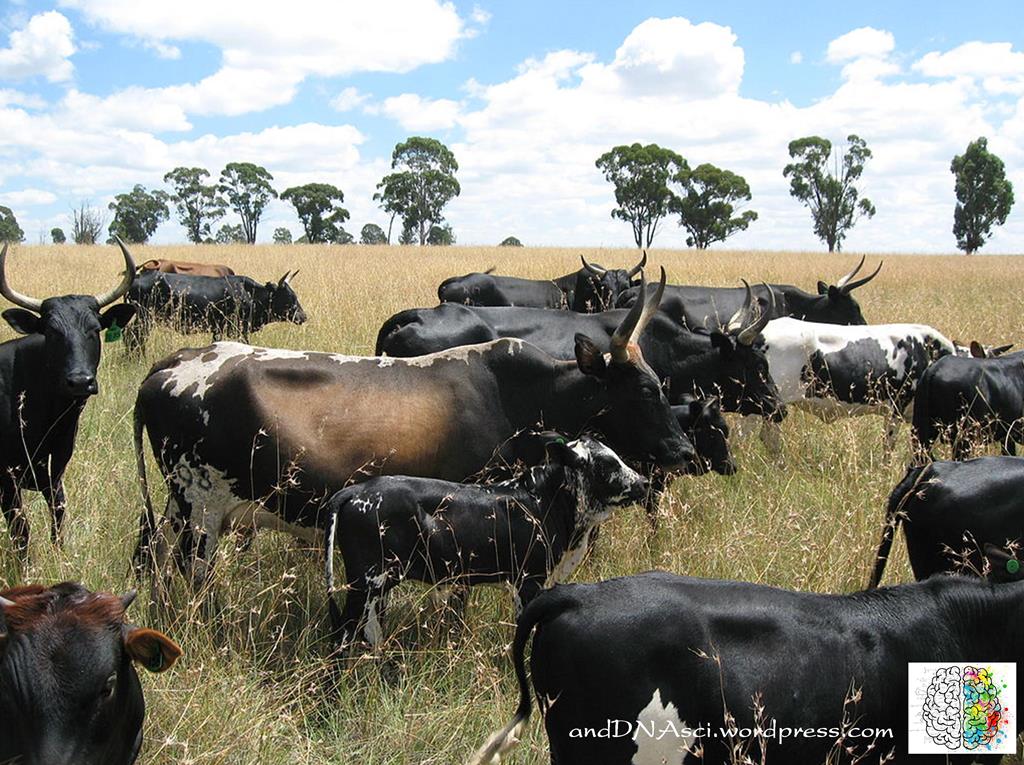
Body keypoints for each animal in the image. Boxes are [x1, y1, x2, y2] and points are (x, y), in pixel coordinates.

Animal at [0, 240, 136, 557]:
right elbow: (21, 531)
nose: (80, 381)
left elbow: (58, 516)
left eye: (94, 330)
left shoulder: (56, 469)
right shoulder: (6, 480)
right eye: (52, 332)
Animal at [124, 269, 306, 353]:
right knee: (134, 336)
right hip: (144, 318)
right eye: (289, 297)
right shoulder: (238, 330)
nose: (303, 316)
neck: (249, 294)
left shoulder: (218, 329)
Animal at [323, 435, 648, 650]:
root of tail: (355, 491)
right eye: (609, 464)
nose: (644, 482)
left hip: (377, 587)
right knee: (343, 636)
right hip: (365, 583)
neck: (543, 501)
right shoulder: (528, 578)